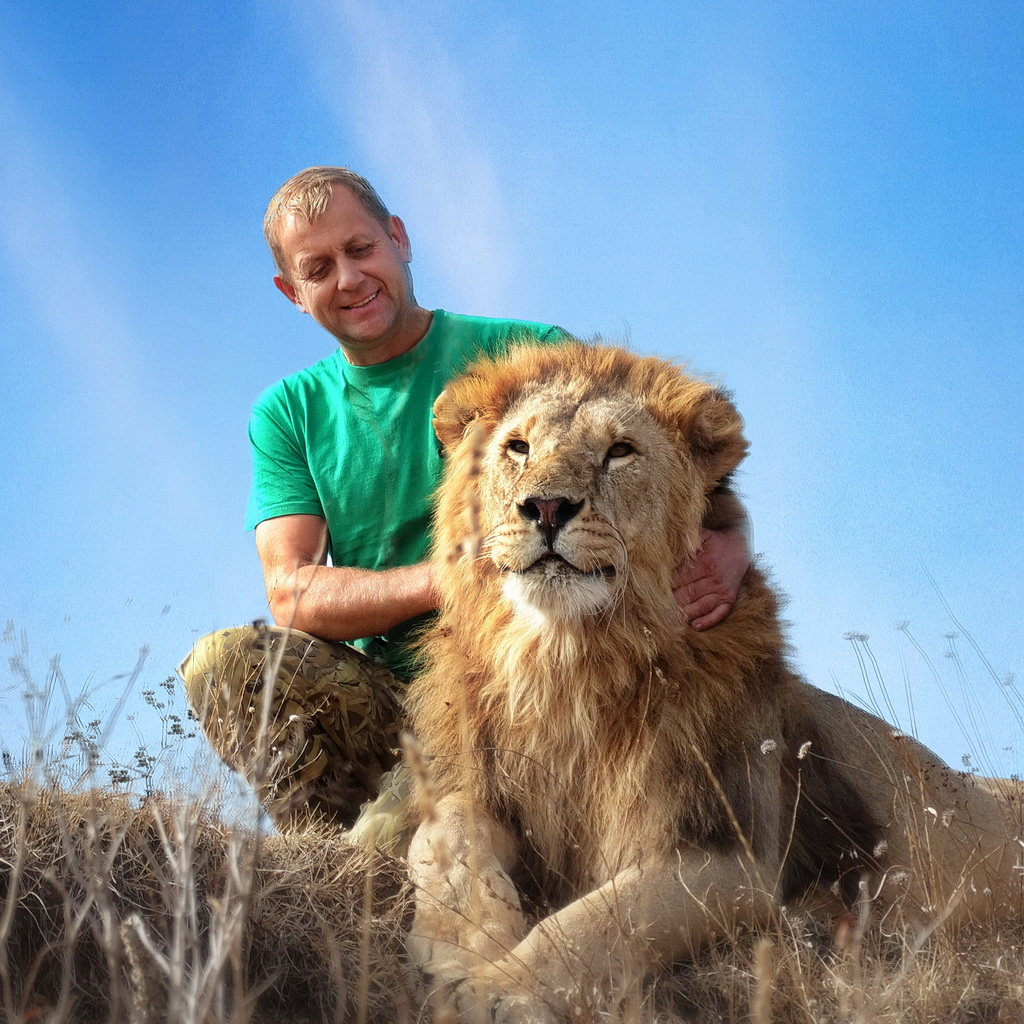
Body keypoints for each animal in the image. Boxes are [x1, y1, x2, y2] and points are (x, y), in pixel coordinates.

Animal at [403, 339, 1019, 1019]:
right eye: (518, 447)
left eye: (620, 451)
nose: (545, 508)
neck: (566, 665)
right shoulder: (482, 786)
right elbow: (438, 837)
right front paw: (469, 946)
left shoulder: (737, 858)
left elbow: (600, 923)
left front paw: (495, 990)